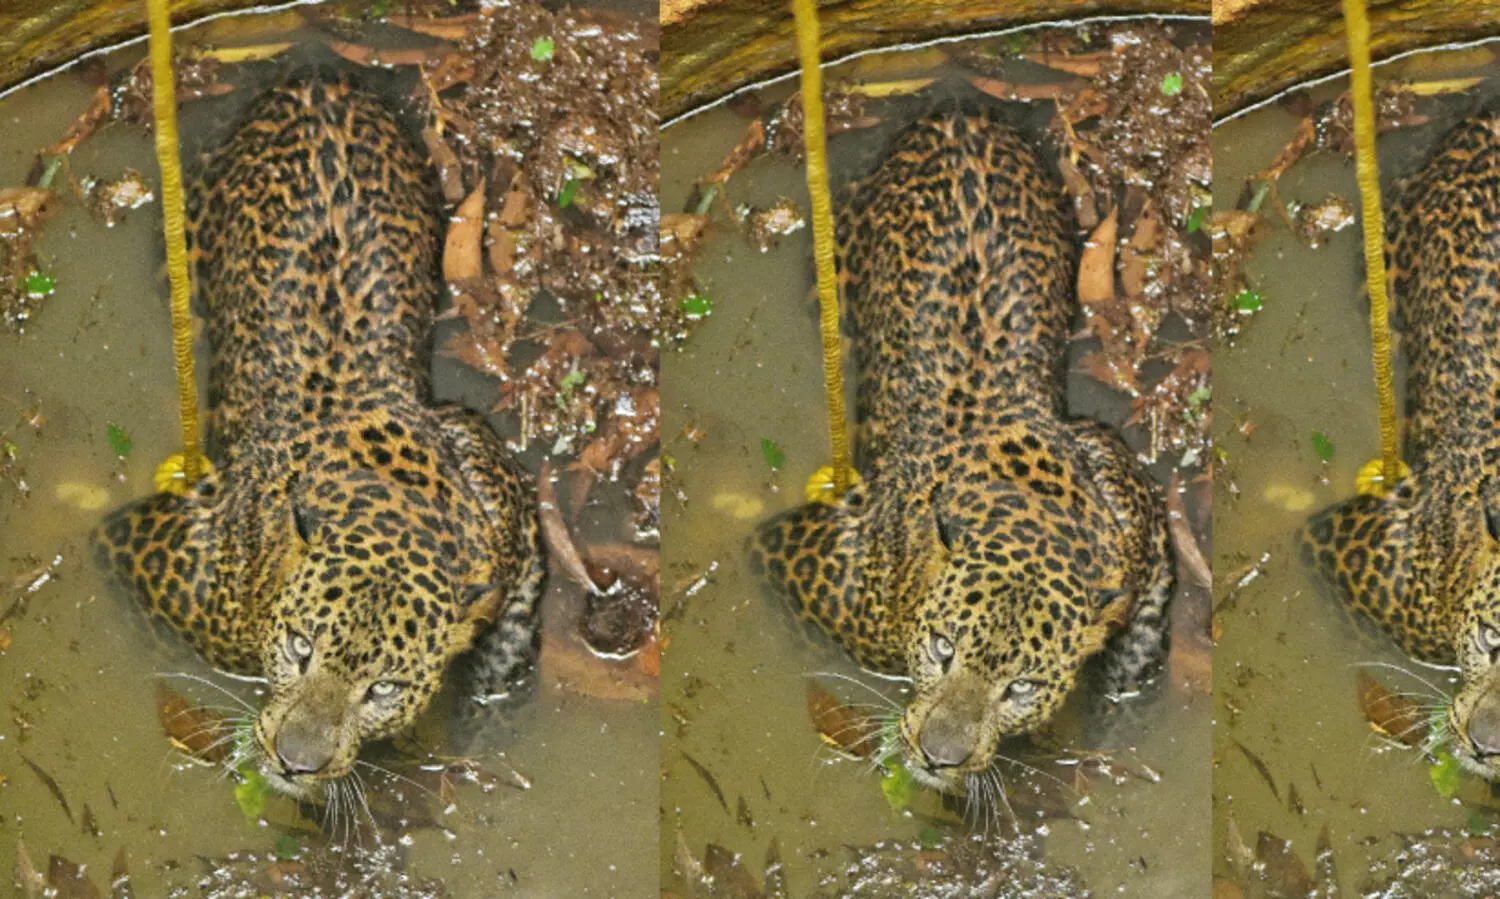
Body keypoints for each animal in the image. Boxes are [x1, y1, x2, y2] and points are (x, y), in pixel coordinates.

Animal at [92, 73, 545, 799]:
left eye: (383, 688)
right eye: (301, 647)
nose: (293, 761)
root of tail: (315, 84)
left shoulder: (496, 494)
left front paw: (486, 697)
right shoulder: (146, 552)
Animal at [748, 111, 1174, 795]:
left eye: (1020, 686)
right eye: (943, 649)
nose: (937, 755)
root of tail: (956, 118)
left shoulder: (1125, 497)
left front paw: (1122, 681)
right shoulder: (797, 558)